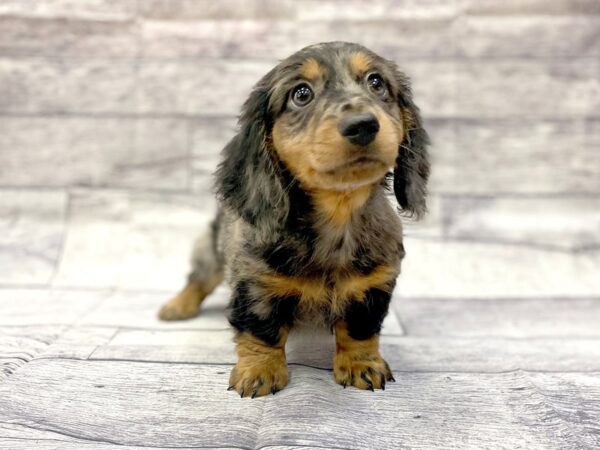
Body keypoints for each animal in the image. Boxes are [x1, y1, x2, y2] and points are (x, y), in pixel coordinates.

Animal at [158, 42, 432, 398]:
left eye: (376, 83)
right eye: (301, 94)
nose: (362, 125)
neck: (337, 216)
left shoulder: (372, 288)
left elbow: (360, 330)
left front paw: (361, 364)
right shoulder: (255, 285)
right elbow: (262, 332)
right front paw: (259, 370)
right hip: (211, 253)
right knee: (198, 280)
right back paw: (178, 305)